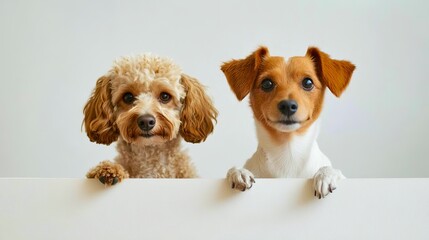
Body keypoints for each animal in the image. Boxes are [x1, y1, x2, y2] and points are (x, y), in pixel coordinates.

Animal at [221, 46, 354, 198]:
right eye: (267, 83)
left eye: (308, 82)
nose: (287, 105)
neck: (288, 152)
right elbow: (234, 169)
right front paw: (239, 172)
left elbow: (333, 170)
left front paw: (326, 174)